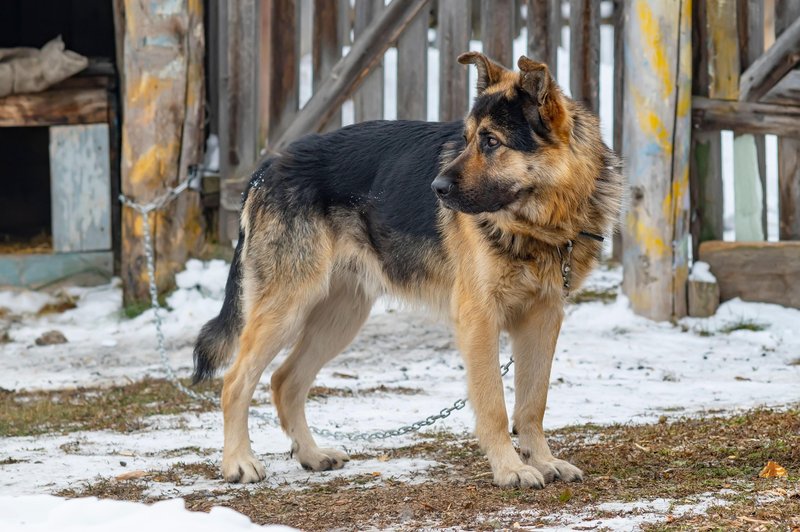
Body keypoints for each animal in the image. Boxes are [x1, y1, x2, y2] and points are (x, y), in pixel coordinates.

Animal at [194, 52, 624, 488]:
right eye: (467, 139)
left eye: (491, 141)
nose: (436, 188)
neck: (542, 223)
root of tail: (266, 167)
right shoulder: (479, 320)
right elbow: (494, 406)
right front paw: (510, 469)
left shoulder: (543, 318)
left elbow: (533, 403)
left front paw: (543, 460)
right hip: (287, 308)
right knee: (235, 381)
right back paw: (239, 462)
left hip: (340, 317)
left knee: (285, 381)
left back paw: (312, 454)